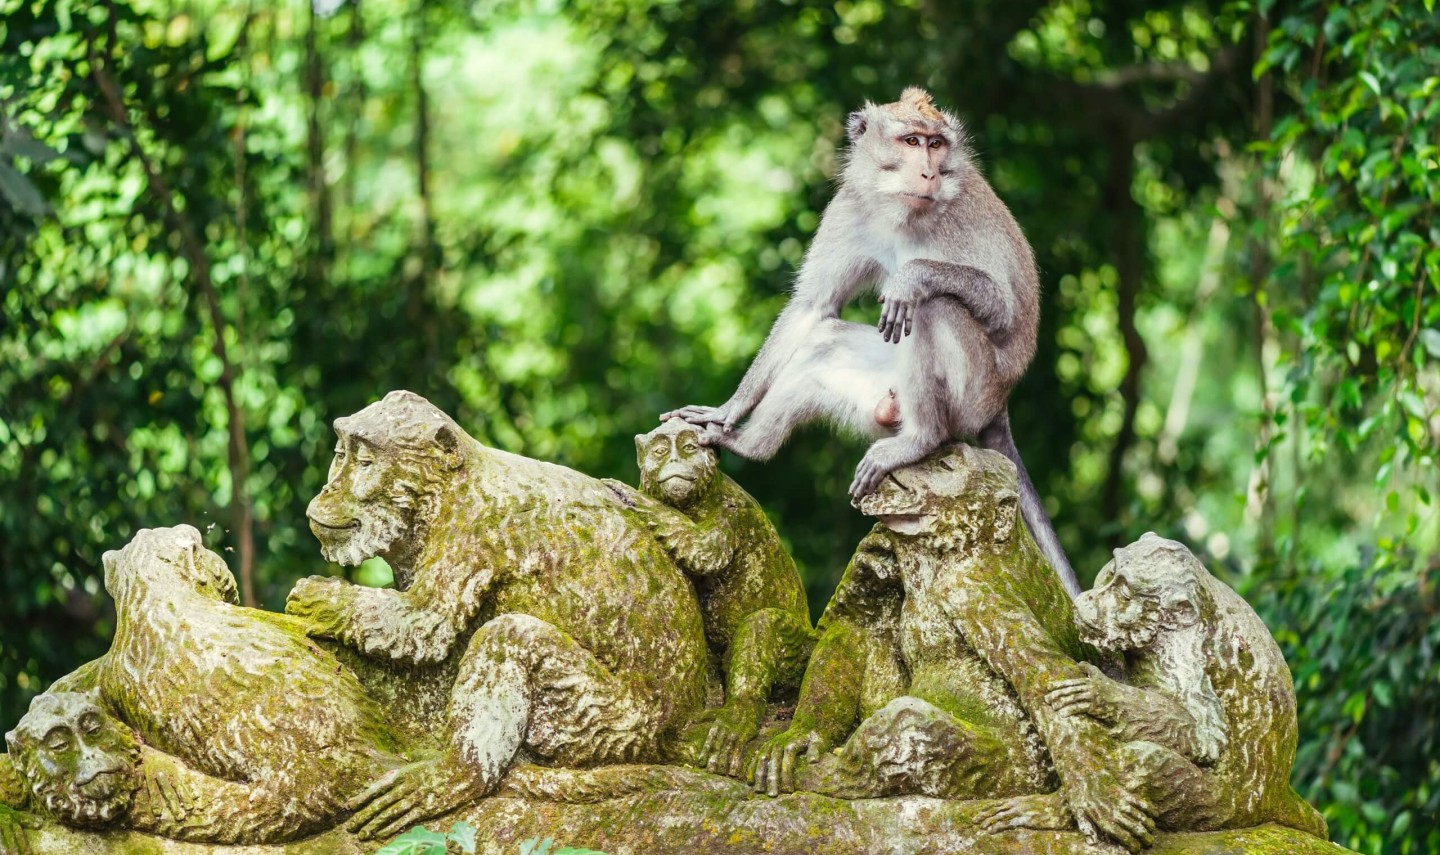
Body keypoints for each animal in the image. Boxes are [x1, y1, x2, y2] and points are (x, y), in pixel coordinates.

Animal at [662, 87, 1080, 598]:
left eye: (936, 144)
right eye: (911, 140)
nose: (929, 171)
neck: (904, 211)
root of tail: (1000, 405)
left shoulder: (961, 216)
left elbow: (1004, 311)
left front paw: (912, 276)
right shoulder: (849, 210)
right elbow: (812, 309)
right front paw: (727, 409)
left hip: (973, 396)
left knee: (934, 309)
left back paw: (921, 438)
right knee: (823, 342)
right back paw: (748, 445)